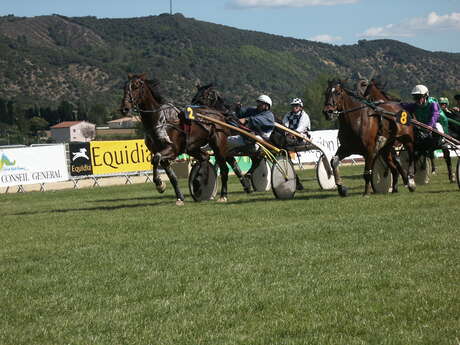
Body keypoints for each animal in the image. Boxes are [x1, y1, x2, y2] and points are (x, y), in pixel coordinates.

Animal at [118, 72, 248, 204]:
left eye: (135, 87)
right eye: (124, 88)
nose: (124, 108)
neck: (160, 120)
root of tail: (219, 115)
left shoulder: (172, 150)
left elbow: (155, 159)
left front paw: (160, 185)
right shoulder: (161, 153)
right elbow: (172, 177)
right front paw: (179, 197)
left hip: (218, 146)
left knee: (224, 169)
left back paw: (223, 195)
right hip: (193, 148)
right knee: (205, 157)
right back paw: (199, 181)